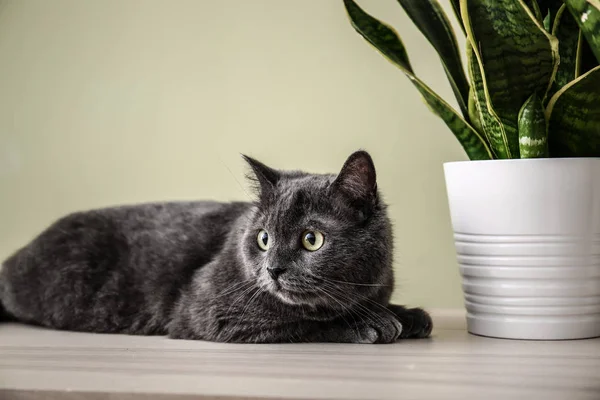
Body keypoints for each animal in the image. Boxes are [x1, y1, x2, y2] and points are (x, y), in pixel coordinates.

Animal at [0, 152, 432, 342]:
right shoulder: (210, 313)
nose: (273, 269)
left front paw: (407, 314)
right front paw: (371, 323)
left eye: (312, 239)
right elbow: (300, 322)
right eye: (263, 238)